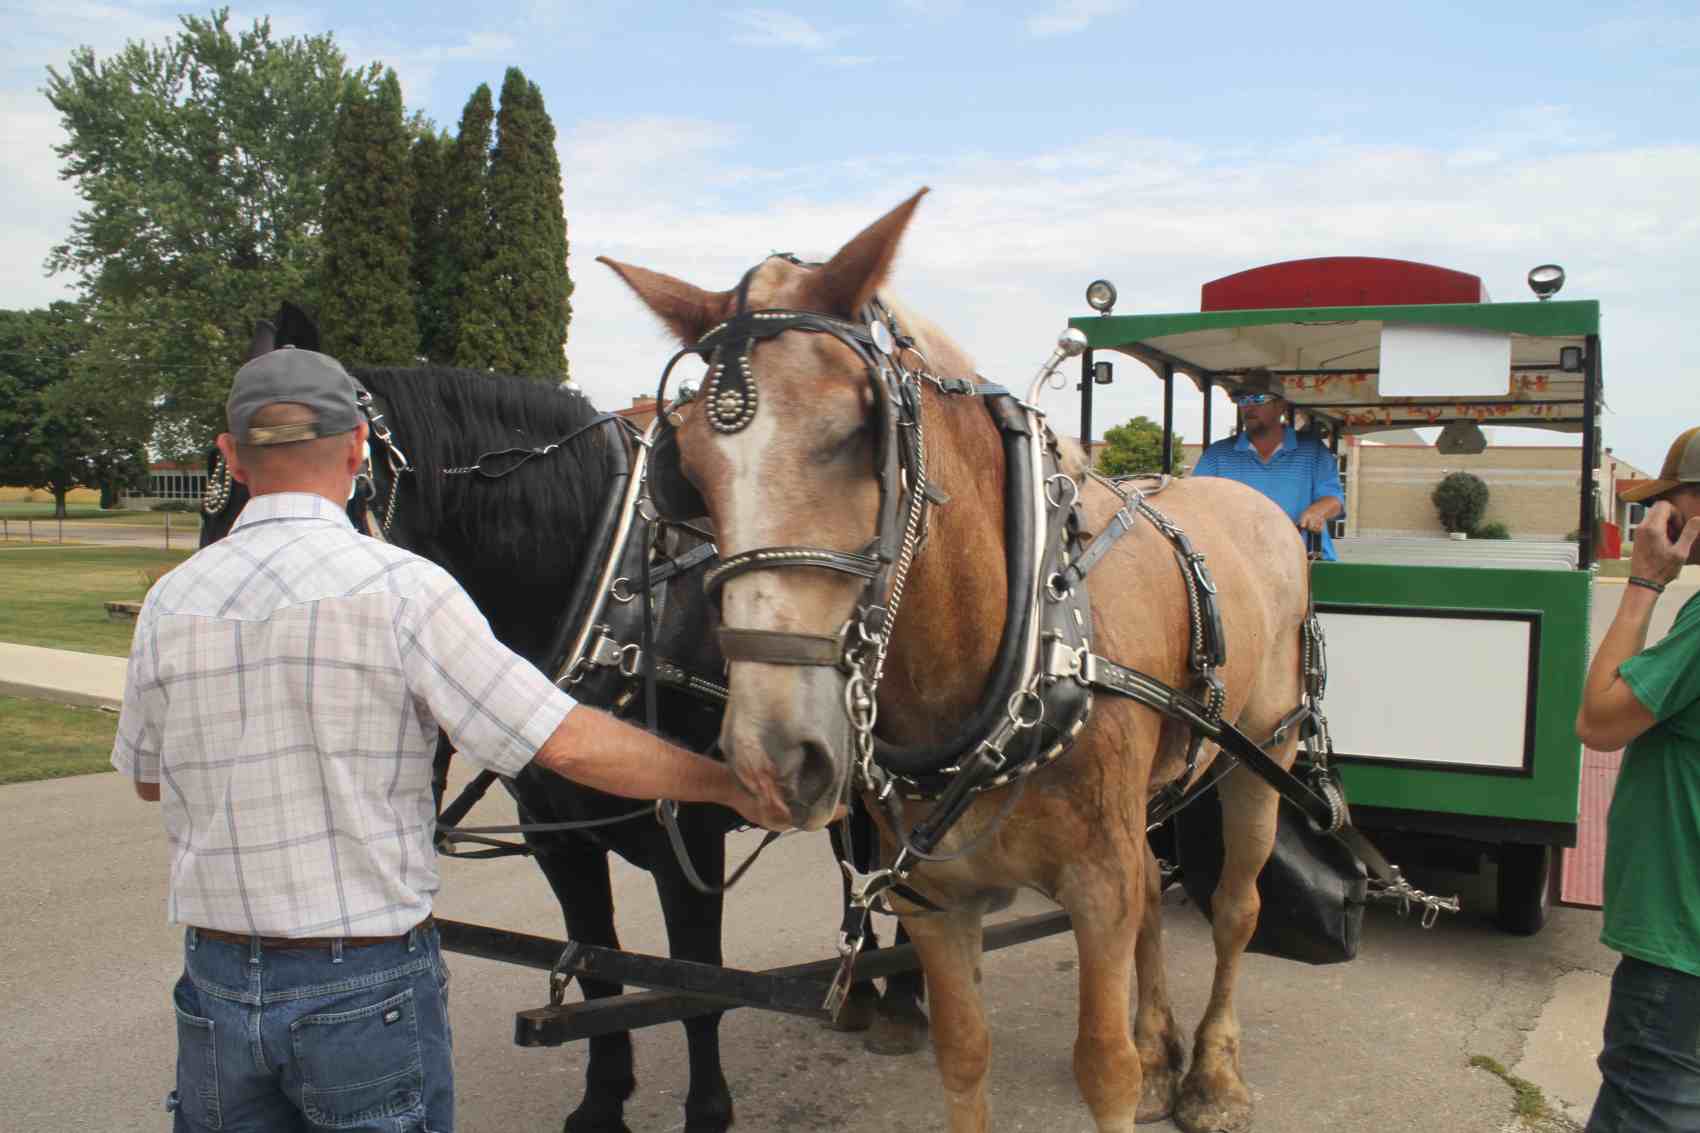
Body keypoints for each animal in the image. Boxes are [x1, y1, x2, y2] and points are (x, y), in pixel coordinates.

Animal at [600, 190, 1313, 1133]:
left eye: (858, 432)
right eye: (687, 470)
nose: (773, 756)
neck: (1018, 653)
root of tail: (1248, 496)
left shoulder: (1098, 881)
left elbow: (1104, 1068)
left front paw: (1147, 1065)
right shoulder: (936, 904)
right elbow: (965, 1055)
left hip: (1265, 756)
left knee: (1235, 908)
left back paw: (1213, 1074)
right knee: (1160, 904)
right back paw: (1166, 1051)